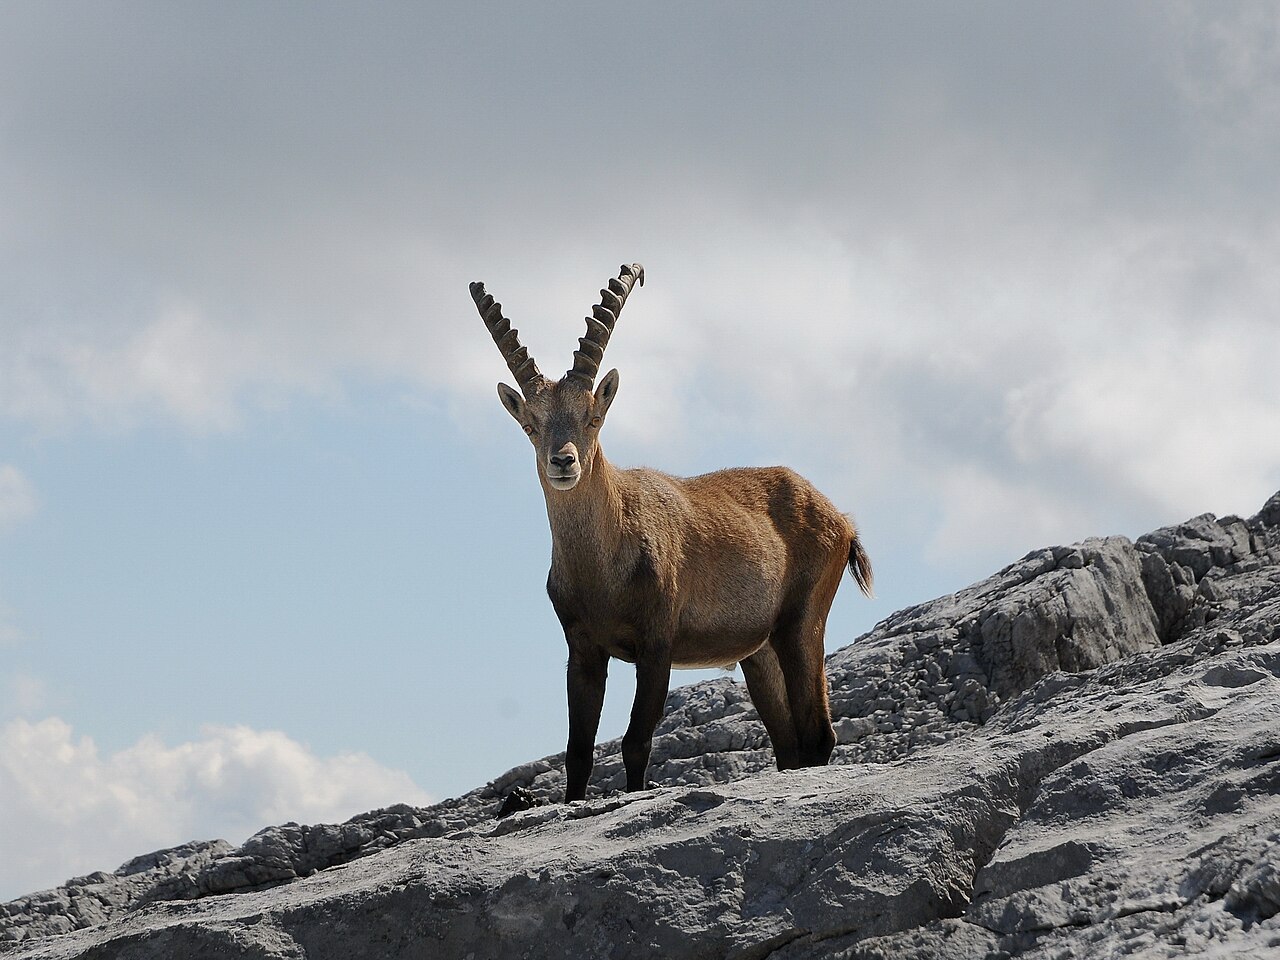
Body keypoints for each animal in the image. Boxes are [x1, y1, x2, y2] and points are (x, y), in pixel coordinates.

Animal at [470, 264, 873, 802]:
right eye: (530, 424)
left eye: (593, 417)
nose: (563, 461)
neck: (604, 563)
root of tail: (840, 518)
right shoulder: (582, 649)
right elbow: (578, 752)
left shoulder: (657, 643)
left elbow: (637, 742)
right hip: (759, 651)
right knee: (788, 741)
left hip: (802, 621)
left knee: (817, 733)